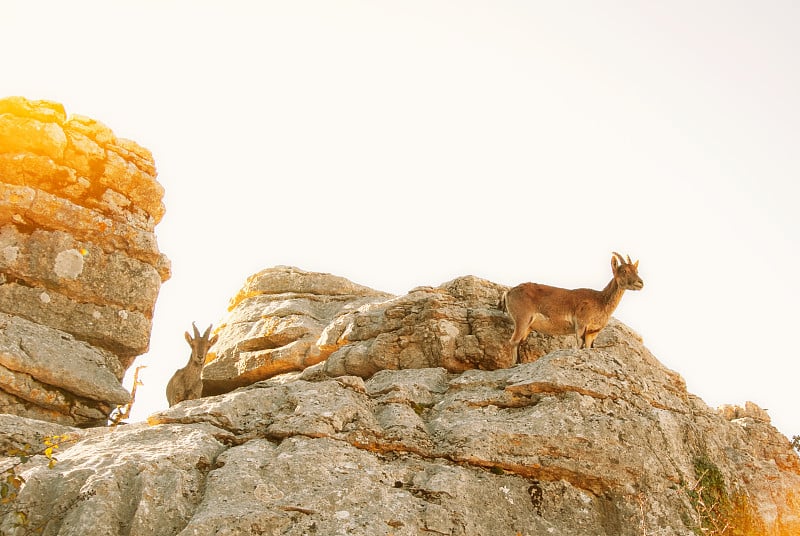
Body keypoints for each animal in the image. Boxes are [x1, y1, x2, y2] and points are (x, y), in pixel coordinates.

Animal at [500, 252, 644, 362]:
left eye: (636, 270)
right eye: (624, 270)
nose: (640, 282)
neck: (600, 300)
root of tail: (508, 292)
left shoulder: (592, 332)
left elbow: (589, 347)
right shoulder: (580, 325)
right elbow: (579, 346)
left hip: (528, 326)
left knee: (519, 342)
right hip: (522, 319)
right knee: (513, 341)